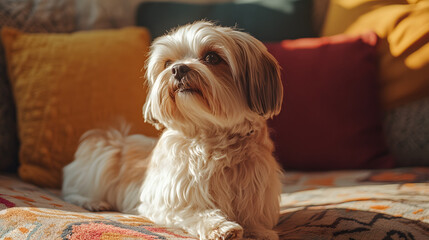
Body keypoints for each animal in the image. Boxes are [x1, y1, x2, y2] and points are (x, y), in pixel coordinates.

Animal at [61, 21, 282, 239]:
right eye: (168, 63)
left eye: (212, 57)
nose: (178, 69)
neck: (212, 138)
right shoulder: (169, 201)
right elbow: (196, 212)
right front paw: (220, 226)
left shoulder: (257, 198)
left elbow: (256, 223)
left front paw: (260, 232)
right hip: (103, 156)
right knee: (71, 190)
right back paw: (93, 202)